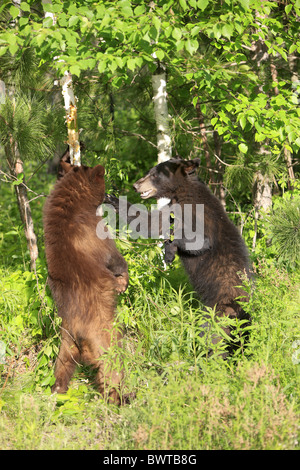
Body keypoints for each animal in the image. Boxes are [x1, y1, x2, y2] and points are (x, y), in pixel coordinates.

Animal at [43, 162, 127, 404]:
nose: (110, 196)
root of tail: (79, 334)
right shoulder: (92, 230)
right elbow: (114, 257)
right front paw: (122, 281)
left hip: (66, 343)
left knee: (62, 367)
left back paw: (57, 391)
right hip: (104, 336)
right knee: (112, 366)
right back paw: (118, 398)